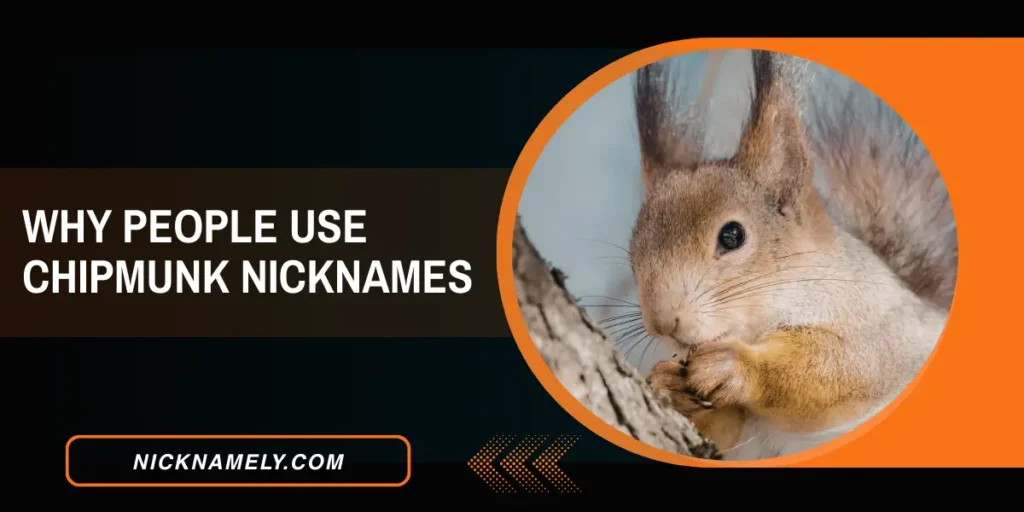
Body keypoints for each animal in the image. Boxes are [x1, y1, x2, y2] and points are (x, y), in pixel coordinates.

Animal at [631, 50, 956, 461]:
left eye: (732, 235)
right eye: (633, 251)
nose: (663, 323)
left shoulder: (885, 329)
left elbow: (845, 365)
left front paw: (736, 366)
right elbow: (723, 432)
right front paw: (668, 385)